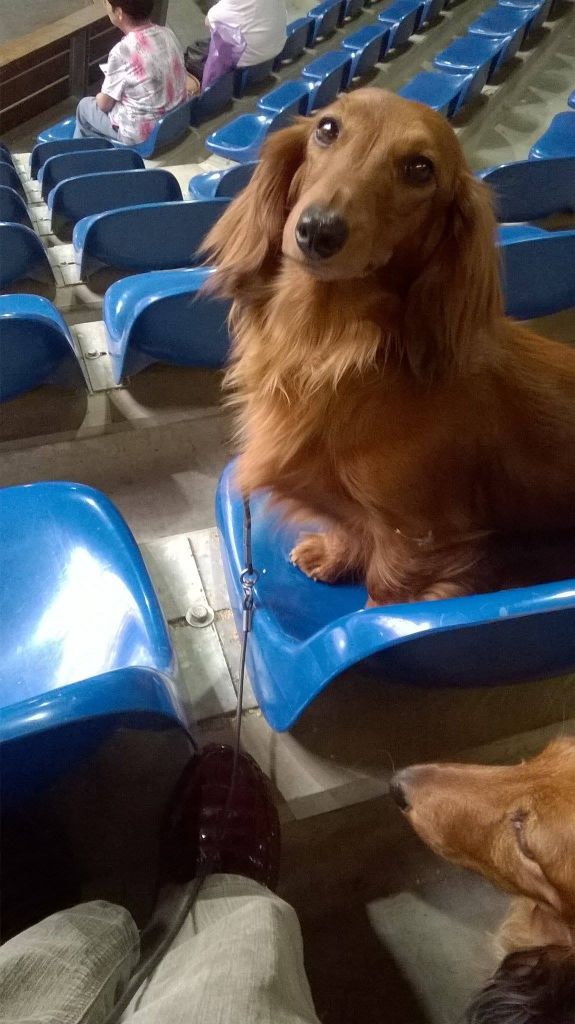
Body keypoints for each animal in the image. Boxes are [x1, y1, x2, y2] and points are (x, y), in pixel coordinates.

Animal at [203, 87, 575, 606]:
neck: (330, 347)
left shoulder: (419, 539)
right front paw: (333, 556)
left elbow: (384, 592)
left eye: (420, 168)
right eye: (327, 128)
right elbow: (351, 529)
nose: (318, 230)